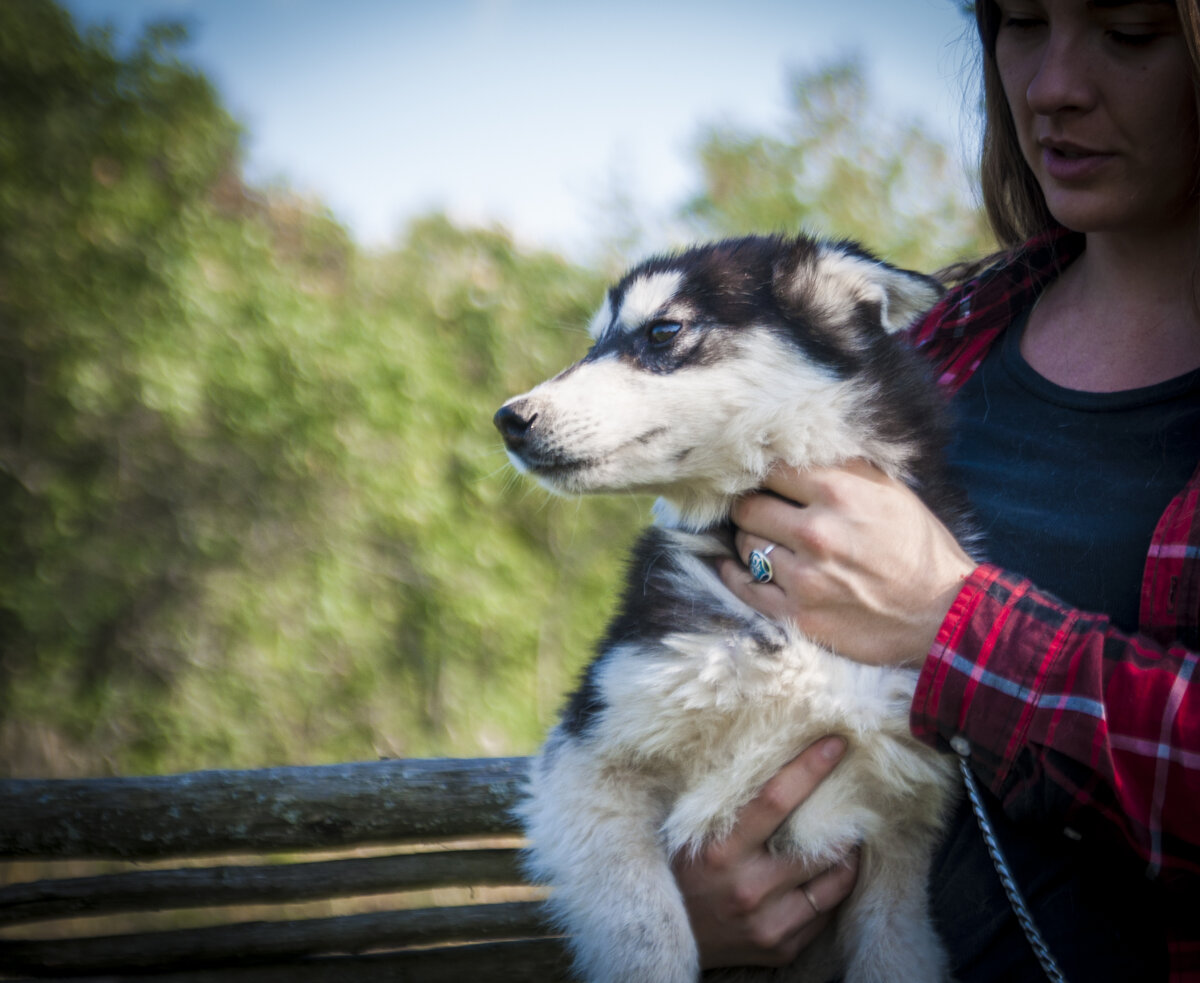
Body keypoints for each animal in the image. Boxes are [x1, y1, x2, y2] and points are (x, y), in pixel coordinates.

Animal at [492, 236, 969, 983]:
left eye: (664, 331)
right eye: (597, 341)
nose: (509, 419)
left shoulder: (901, 833)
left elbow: (894, 953)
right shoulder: (587, 764)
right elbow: (650, 934)